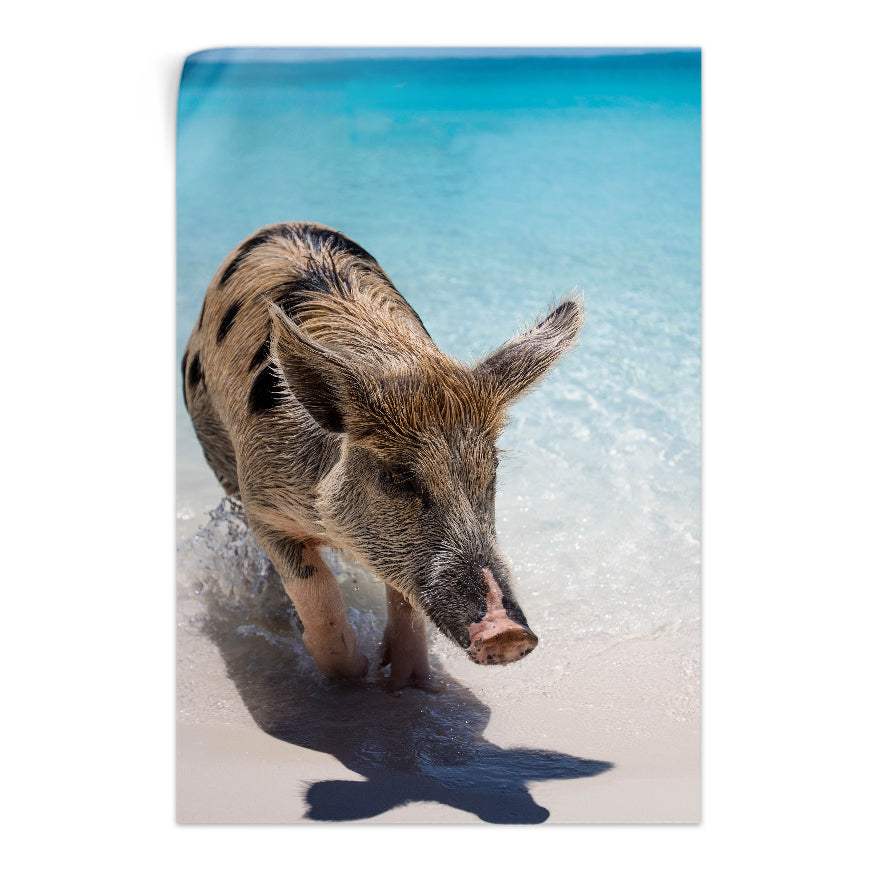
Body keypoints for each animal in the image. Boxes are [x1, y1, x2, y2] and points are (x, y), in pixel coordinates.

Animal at [182, 222, 584, 689]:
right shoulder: (262, 502)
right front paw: (355, 671)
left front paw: (406, 679)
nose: (507, 633)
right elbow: (314, 588)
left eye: (491, 473)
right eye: (400, 478)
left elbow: (404, 598)